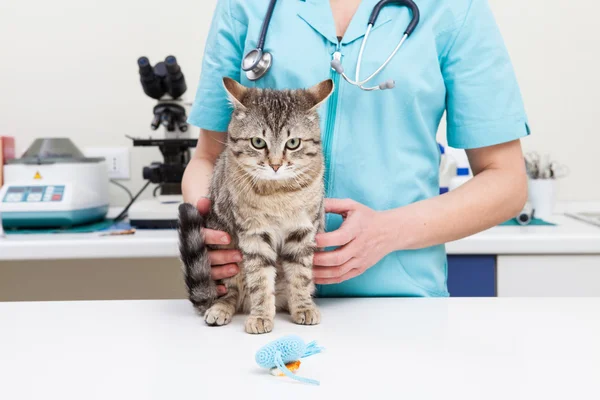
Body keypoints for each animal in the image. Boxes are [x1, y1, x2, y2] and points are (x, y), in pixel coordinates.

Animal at [178, 76, 336, 332]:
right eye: (258, 142)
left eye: (293, 142)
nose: (275, 165)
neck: (279, 192)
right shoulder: (254, 234)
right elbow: (260, 281)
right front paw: (261, 315)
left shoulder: (303, 231)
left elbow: (300, 276)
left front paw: (303, 306)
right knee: (231, 293)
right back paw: (221, 308)